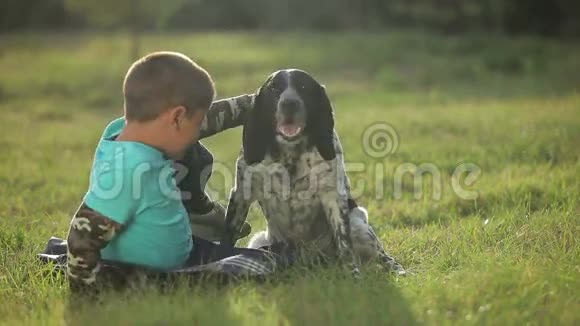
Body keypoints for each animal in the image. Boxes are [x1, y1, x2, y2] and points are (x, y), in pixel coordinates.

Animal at [220, 69, 406, 276]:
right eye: (274, 88)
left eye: (303, 87)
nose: (289, 103)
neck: (289, 154)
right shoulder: (241, 194)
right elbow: (228, 235)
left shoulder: (333, 198)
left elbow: (345, 245)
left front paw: (354, 275)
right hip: (259, 239)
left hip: (359, 226)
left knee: (384, 257)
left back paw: (399, 271)